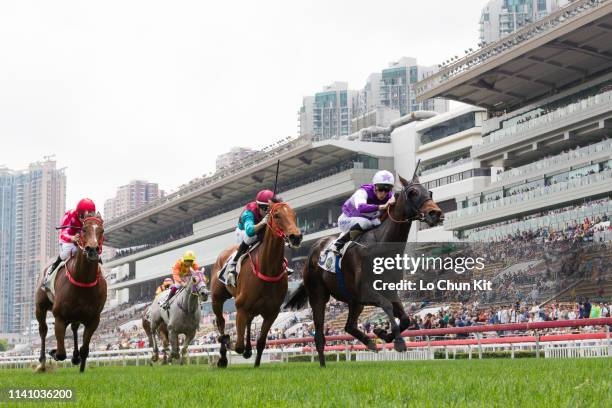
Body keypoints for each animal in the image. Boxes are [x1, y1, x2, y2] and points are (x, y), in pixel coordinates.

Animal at [34, 214, 107, 372]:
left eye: (102, 230)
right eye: (84, 230)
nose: (92, 250)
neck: (83, 280)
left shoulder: (94, 319)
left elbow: (84, 349)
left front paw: (79, 361)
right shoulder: (60, 317)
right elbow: (61, 353)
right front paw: (53, 351)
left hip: (76, 315)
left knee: (74, 329)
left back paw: (74, 356)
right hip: (40, 307)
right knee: (43, 330)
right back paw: (42, 362)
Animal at [212, 199, 302, 368]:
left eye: (294, 214)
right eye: (277, 215)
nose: (296, 237)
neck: (267, 268)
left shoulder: (272, 312)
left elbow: (261, 342)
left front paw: (256, 363)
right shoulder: (241, 307)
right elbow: (237, 346)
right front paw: (228, 342)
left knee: (248, 322)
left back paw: (247, 350)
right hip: (217, 298)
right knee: (221, 322)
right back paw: (223, 357)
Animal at [284, 174, 442, 368]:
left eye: (430, 192)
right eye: (413, 192)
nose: (436, 213)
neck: (382, 244)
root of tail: (313, 250)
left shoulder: (389, 291)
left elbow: (405, 318)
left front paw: (382, 333)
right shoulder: (366, 291)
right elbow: (387, 306)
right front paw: (397, 341)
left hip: (354, 301)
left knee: (349, 326)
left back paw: (369, 342)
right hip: (318, 296)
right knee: (319, 334)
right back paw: (322, 365)